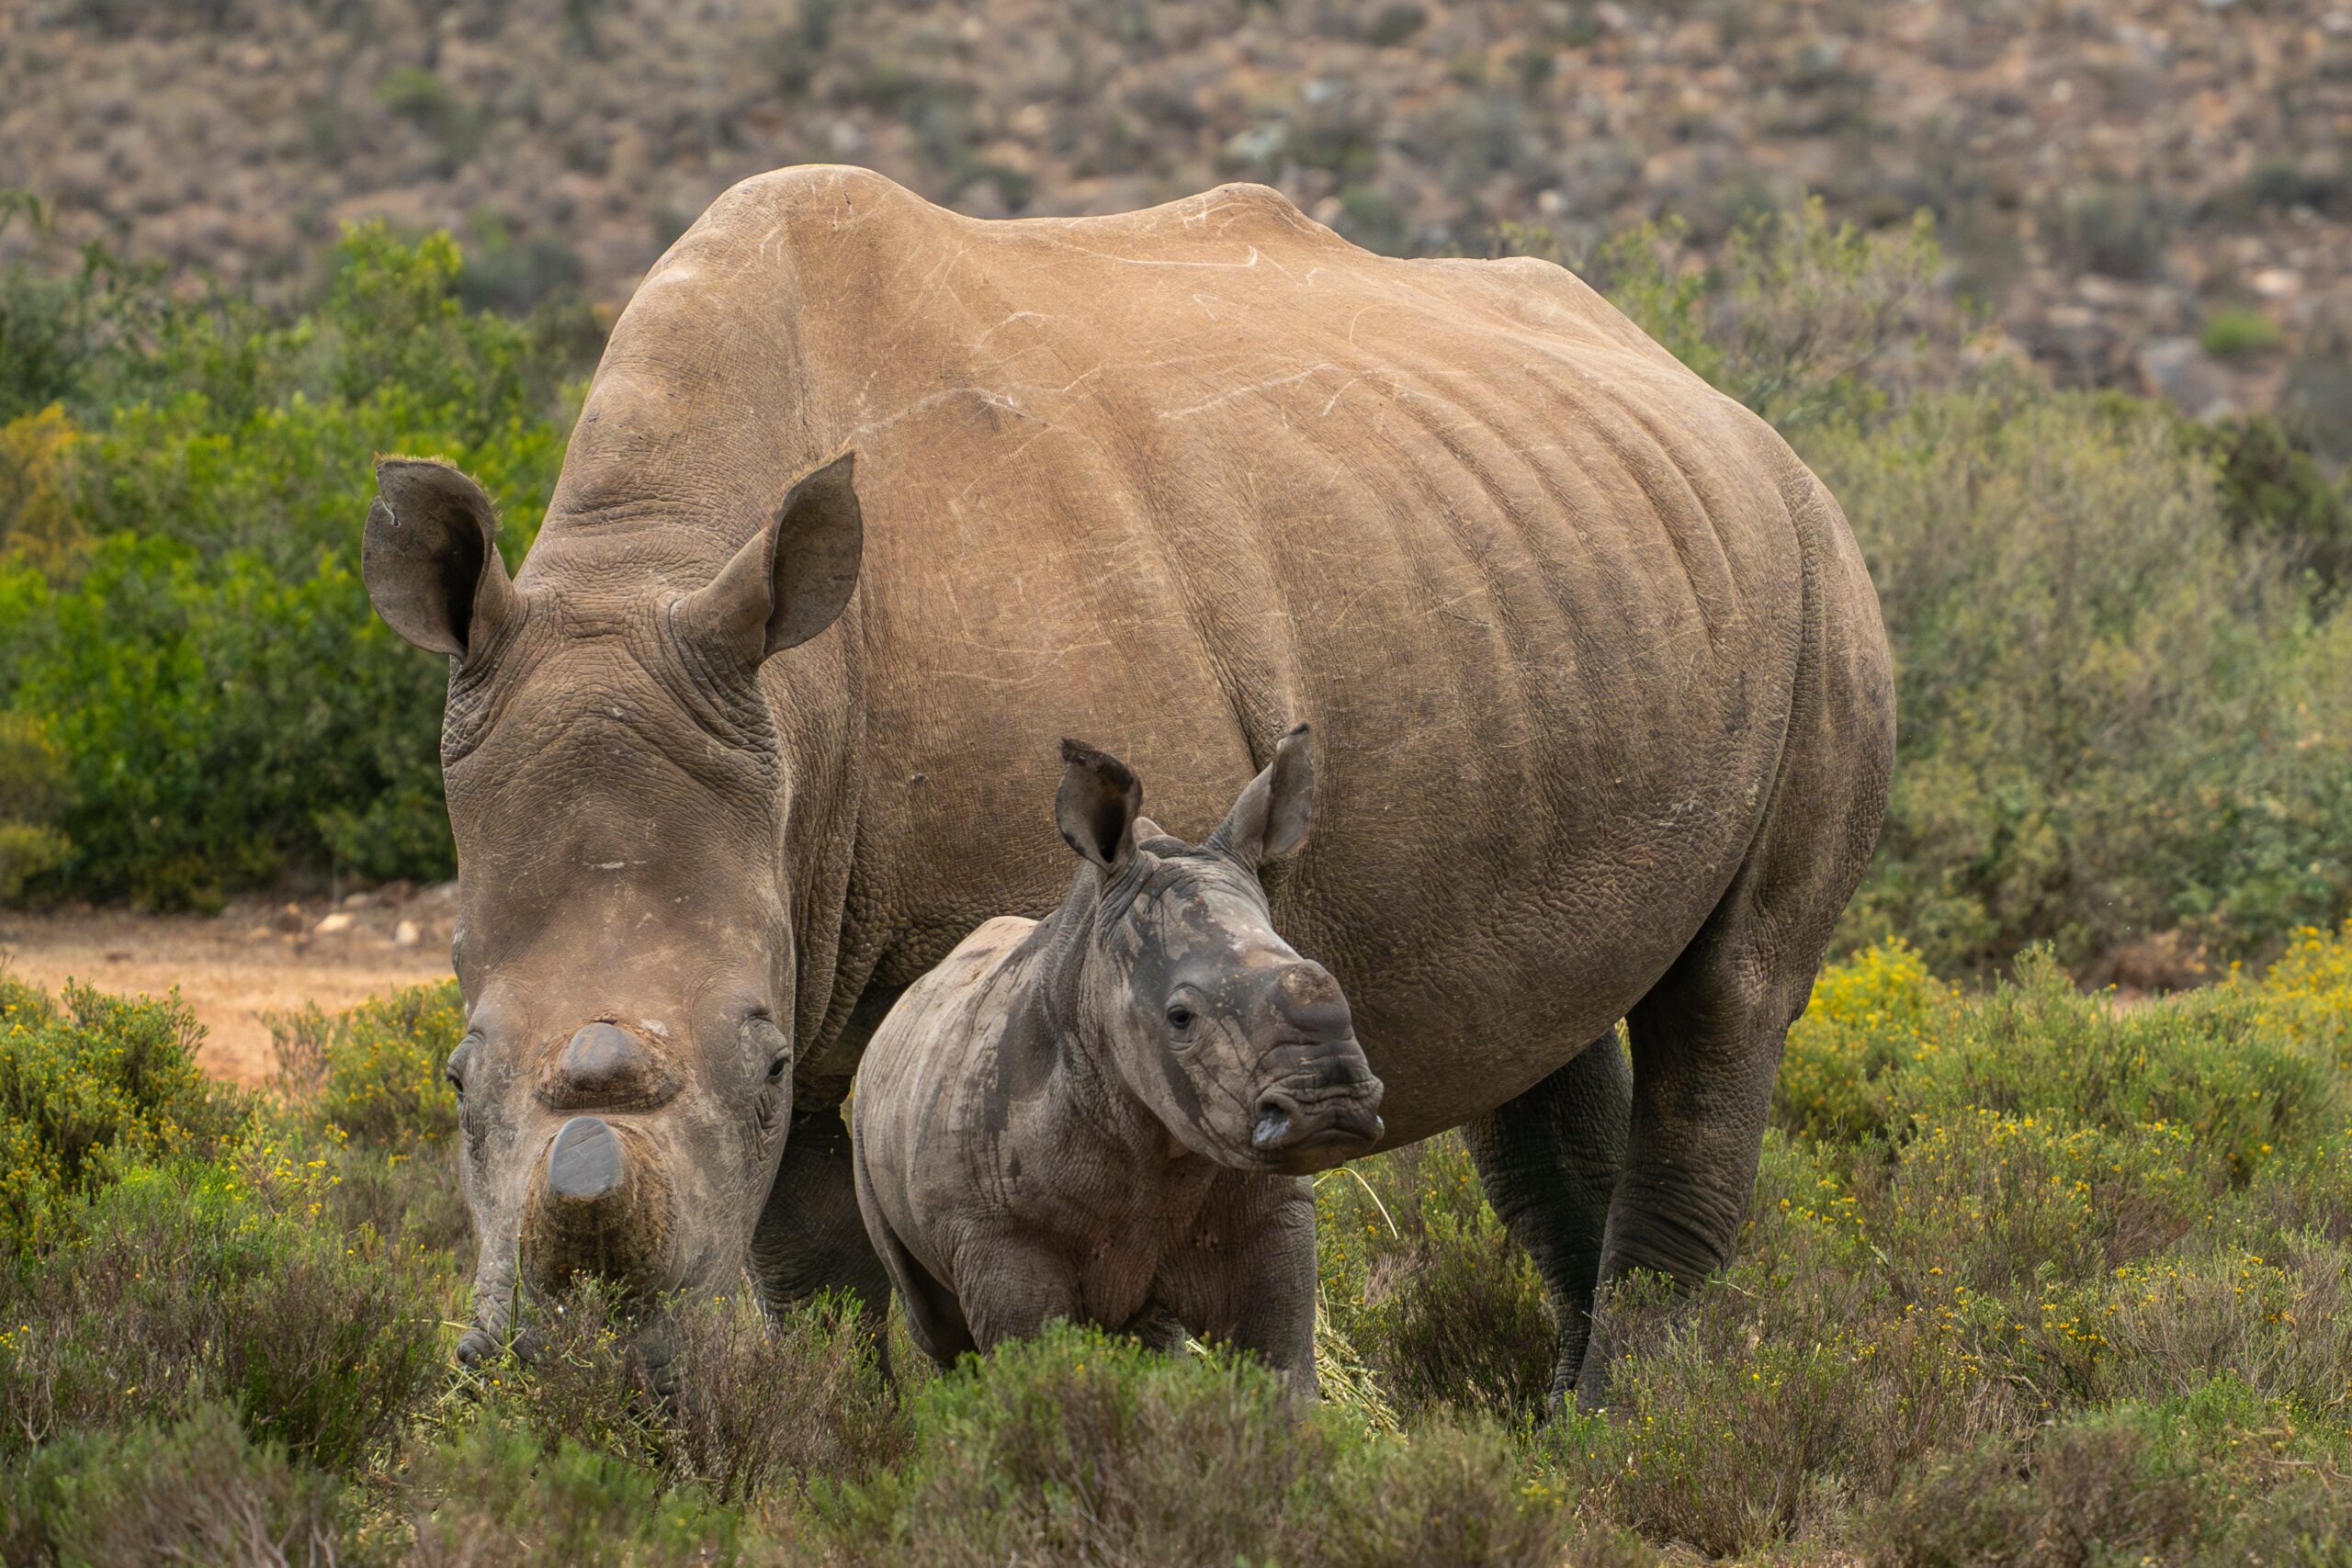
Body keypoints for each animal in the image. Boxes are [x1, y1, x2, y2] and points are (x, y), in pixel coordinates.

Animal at [852, 728, 1379, 1395]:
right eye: (1180, 1017)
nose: (1331, 1103)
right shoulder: (998, 1238)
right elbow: (1037, 1379)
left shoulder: (1270, 1207)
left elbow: (1280, 1367)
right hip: (868, 1118)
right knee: (939, 1332)